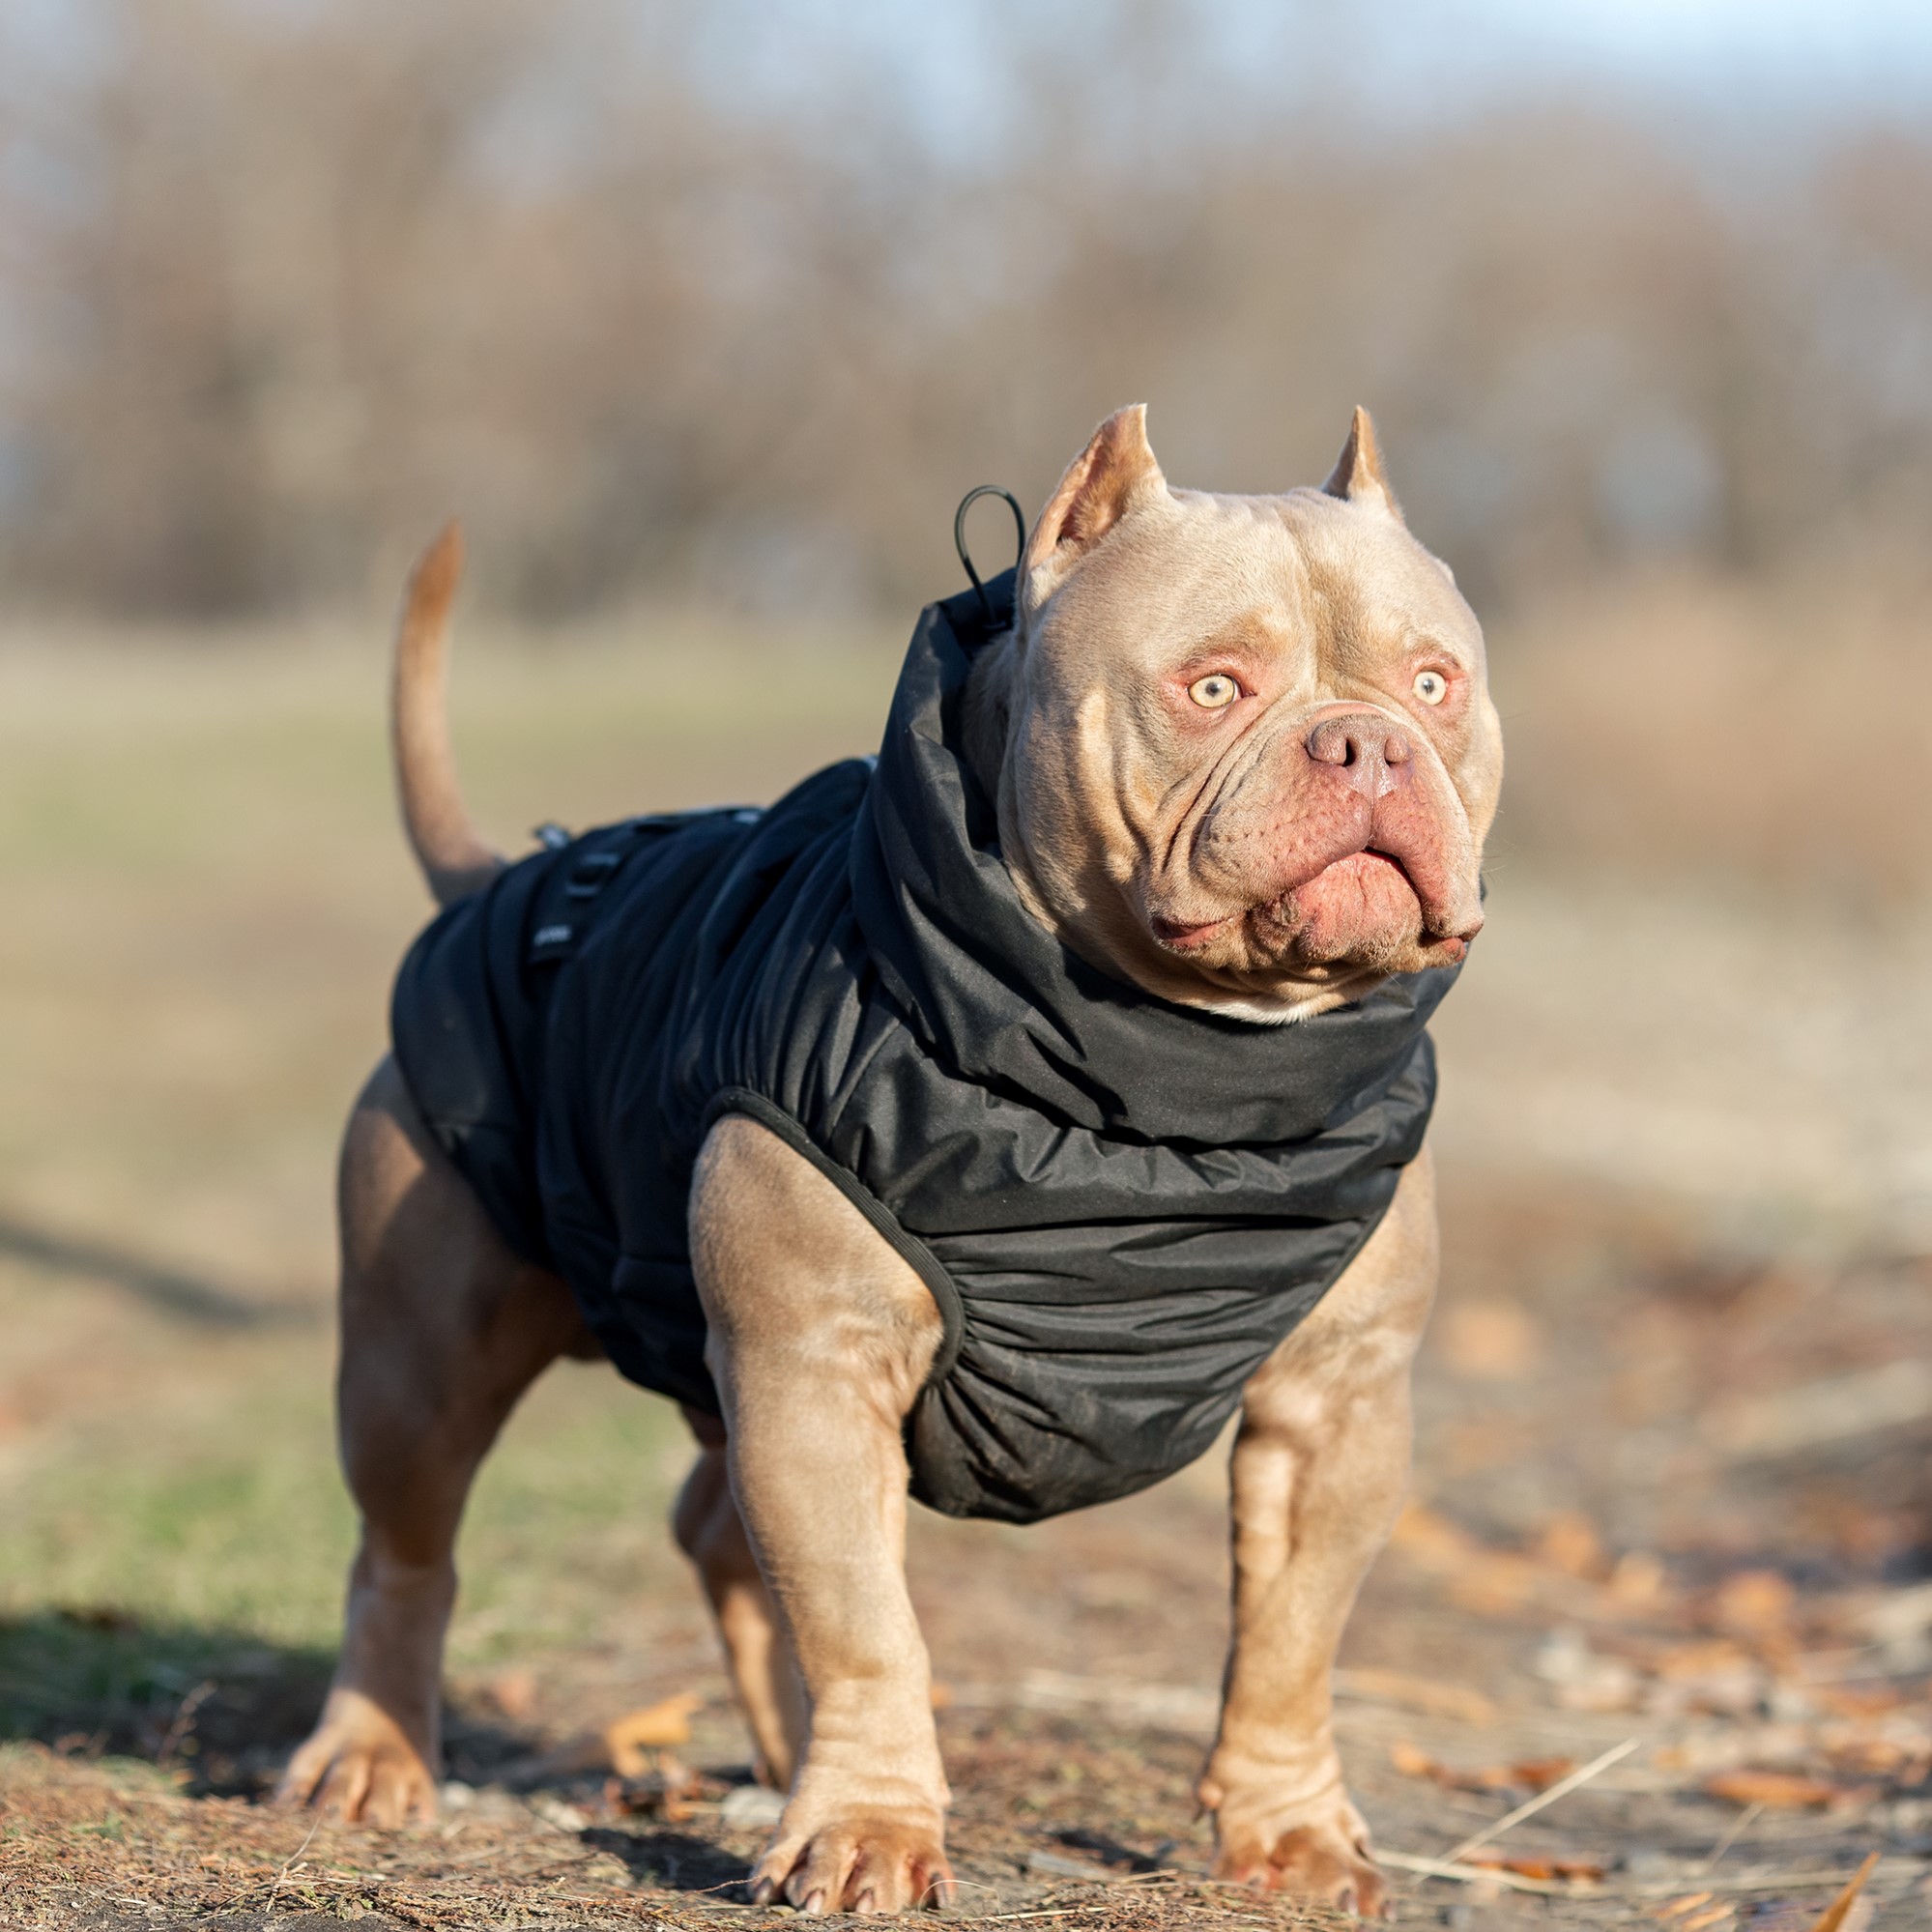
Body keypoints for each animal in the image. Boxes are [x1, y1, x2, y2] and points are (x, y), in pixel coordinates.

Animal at [279, 407, 1499, 1917]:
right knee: (407, 1547)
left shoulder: (1337, 1404)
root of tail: (498, 877)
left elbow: (1288, 1638)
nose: (1367, 747)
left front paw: (1291, 1834)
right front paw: (868, 1826)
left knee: (714, 1534)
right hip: (421, 1354)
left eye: (1435, 683)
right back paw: (371, 1753)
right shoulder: (814, 1368)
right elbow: (866, 1620)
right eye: (1212, 685)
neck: (1175, 1095)